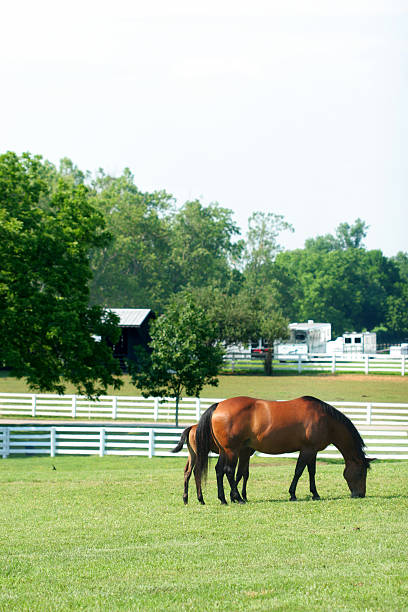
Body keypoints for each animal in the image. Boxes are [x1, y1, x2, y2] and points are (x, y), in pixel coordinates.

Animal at [194, 394, 372, 504]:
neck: (326, 420)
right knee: (229, 471)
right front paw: (293, 494)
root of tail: (218, 406)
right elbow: (299, 471)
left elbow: (311, 472)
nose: (360, 494)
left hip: (225, 451)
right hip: (232, 451)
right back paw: (238, 498)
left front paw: (315, 494)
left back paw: (223, 499)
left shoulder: (312, 451)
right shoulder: (307, 450)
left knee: (219, 470)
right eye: (361, 473)